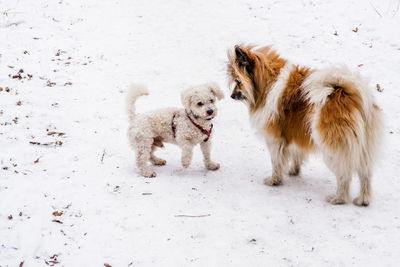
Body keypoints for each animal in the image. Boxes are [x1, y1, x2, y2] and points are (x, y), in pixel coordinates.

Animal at [228, 45, 382, 206]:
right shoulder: (296, 132)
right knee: (365, 174)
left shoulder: (274, 139)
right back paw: (363, 200)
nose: (231, 95)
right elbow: (296, 152)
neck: (268, 84)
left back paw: (338, 198)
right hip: (363, 149)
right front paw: (294, 171)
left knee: (344, 175)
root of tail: (346, 93)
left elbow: (276, 162)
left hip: (334, 149)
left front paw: (274, 180)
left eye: (238, 81)